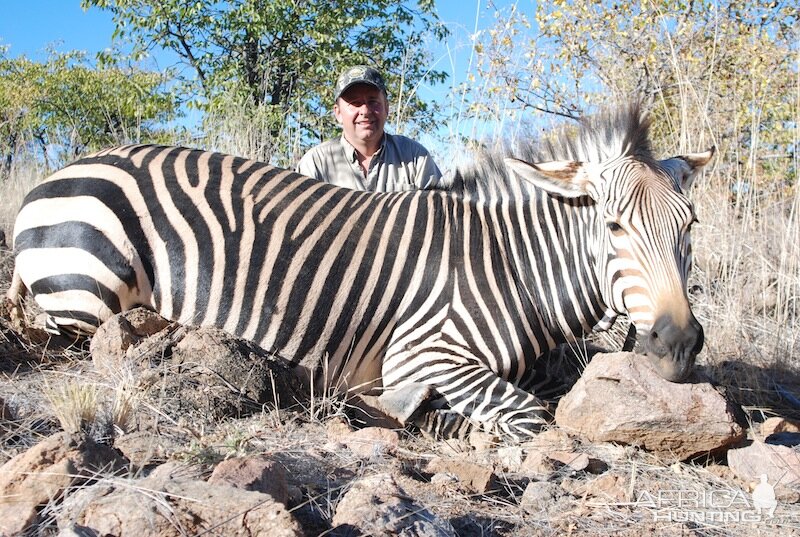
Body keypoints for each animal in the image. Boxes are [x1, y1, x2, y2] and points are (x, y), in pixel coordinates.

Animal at [6, 103, 712, 440]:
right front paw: (413, 416)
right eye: (614, 227)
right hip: (92, 298)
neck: (508, 264)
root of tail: (57, 175)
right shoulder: (423, 351)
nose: (679, 345)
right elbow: (528, 413)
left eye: (691, 225)